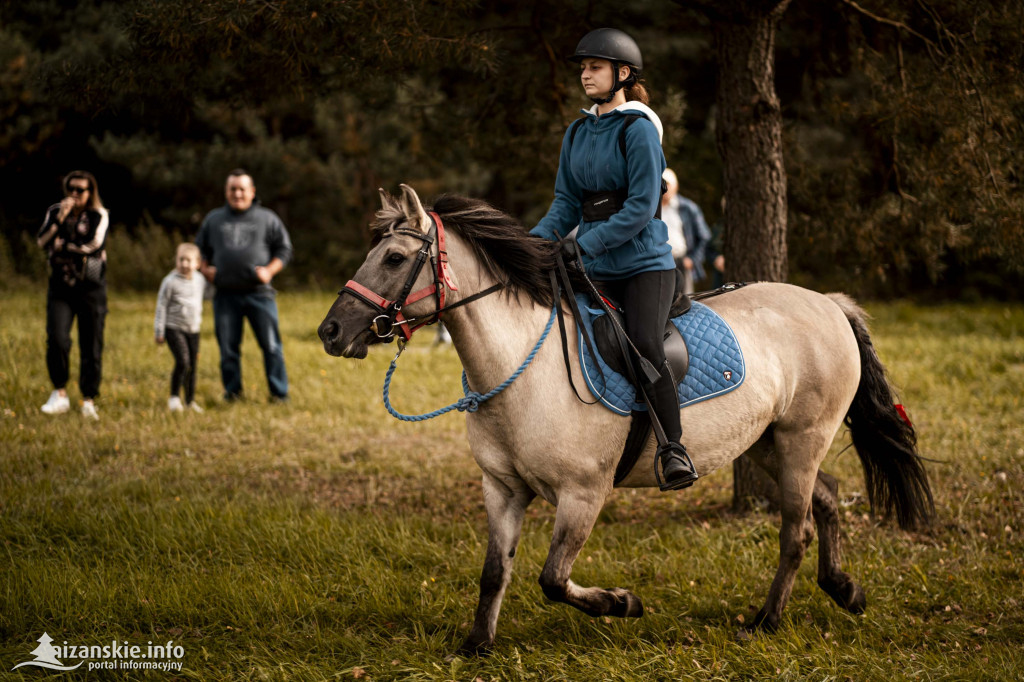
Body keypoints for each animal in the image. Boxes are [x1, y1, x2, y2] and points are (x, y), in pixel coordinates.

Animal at [319, 183, 937, 651]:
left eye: (394, 258)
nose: (331, 332)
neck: (521, 365)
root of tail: (829, 303)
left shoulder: (583, 493)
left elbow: (552, 579)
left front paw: (623, 603)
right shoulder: (502, 489)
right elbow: (496, 571)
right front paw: (476, 645)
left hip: (803, 437)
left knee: (796, 529)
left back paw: (767, 621)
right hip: (770, 443)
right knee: (826, 500)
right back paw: (844, 590)